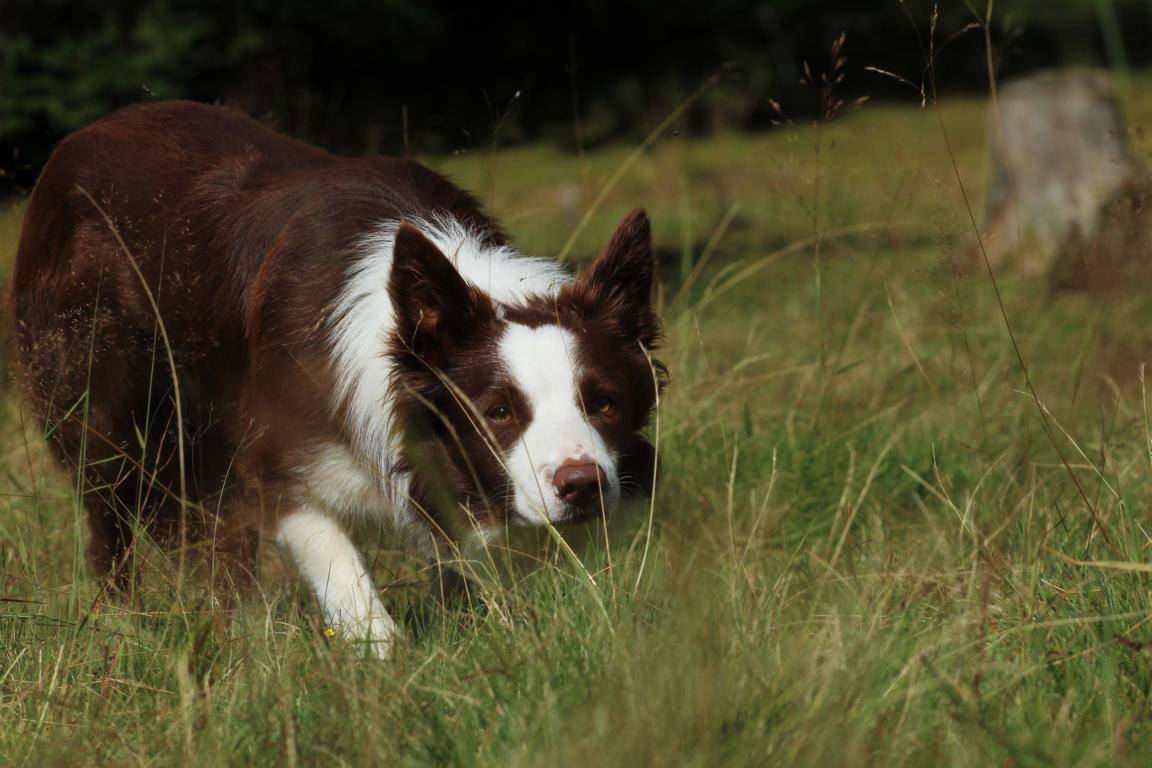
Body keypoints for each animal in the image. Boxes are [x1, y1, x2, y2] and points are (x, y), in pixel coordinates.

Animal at [9, 100, 663, 654]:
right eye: (498, 410)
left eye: (604, 402)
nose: (582, 487)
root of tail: (82, 137)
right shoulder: (276, 461)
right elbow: (347, 581)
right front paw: (386, 670)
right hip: (102, 409)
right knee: (110, 521)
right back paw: (130, 630)